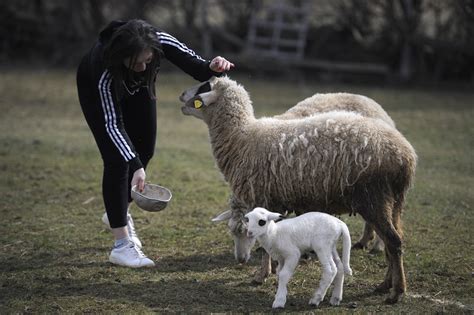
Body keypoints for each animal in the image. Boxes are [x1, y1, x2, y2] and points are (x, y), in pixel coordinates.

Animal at [180, 75, 416, 304]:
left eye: (203, 87)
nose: (181, 96)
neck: (242, 137)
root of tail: (405, 154)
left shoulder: (264, 198)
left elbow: (266, 245)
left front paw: (261, 276)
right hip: (394, 200)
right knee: (395, 241)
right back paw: (385, 284)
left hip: (374, 197)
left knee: (393, 241)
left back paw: (396, 291)